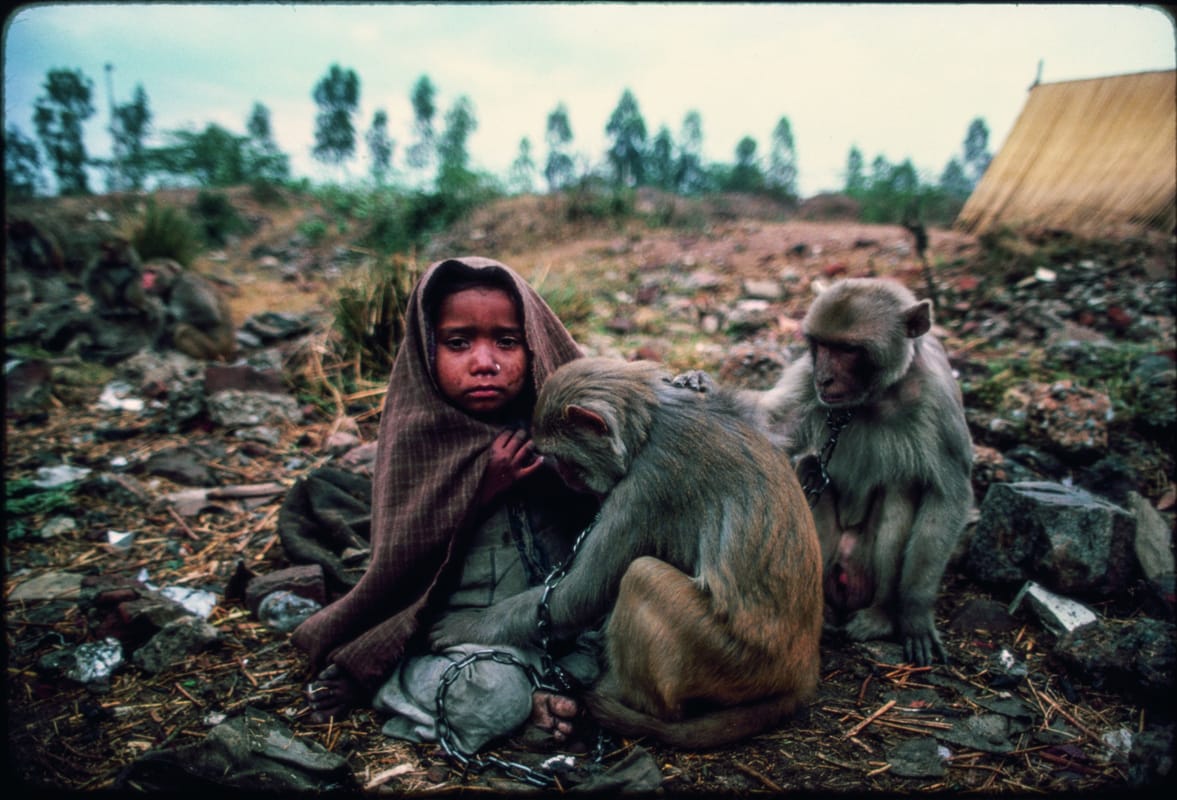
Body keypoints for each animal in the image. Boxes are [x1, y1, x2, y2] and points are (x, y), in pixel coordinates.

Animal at [430, 357, 823, 748]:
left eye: (569, 460)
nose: (566, 477)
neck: (649, 427)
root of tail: (800, 673)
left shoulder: (646, 489)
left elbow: (579, 596)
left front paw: (468, 624)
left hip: (729, 658)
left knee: (642, 576)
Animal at [749, 278, 973, 667]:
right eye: (821, 345)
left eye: (849, 349)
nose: (824, 378)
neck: (876, 395)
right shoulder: (805, 379)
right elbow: (773, 423)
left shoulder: (938, 398)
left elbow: (949, 497)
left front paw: (915, 614)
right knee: (808, 476)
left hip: (863, 570)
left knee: (898, 494)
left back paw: (879, 616)